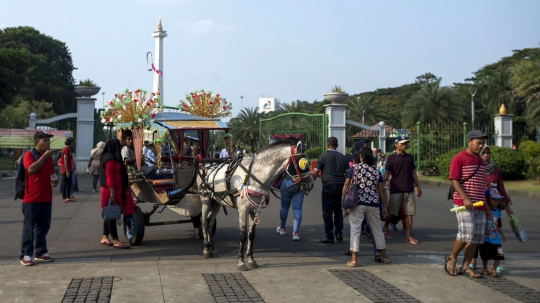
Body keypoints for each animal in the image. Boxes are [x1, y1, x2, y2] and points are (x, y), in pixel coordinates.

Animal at [195, 141, 312, 272]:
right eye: (303, 164)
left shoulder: (253, 210)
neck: (253, 177)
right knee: (203, 221)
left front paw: (251, 260)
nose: (311, 184)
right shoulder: (243, 210)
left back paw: (213, 249)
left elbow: (251, 235)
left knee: (210, 222)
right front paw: (241, 262)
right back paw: (206, 249)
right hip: (206, 199)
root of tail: (205, 166)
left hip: (216, 202)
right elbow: (242, 235)